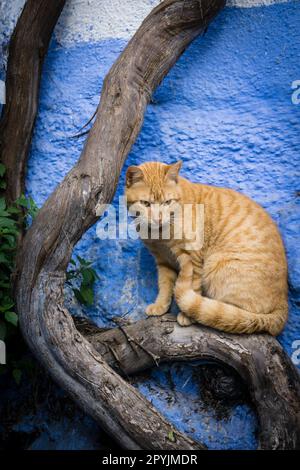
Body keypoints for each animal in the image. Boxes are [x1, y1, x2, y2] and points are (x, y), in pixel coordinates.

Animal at [125, 161, 288, 334]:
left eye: (167, 202)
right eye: (145, 203)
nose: (158, 219)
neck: (159, 235)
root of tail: (283, 301)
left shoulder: (193, 258)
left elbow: (193, 285)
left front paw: (187, 315)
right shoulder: (163, 261)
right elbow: (165, 285)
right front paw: (160, 305)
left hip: (218, 265)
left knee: (234, 314)